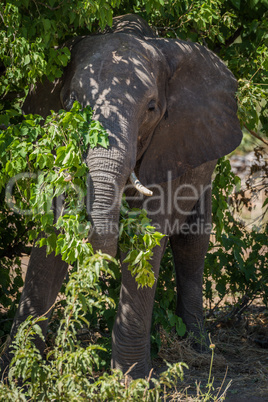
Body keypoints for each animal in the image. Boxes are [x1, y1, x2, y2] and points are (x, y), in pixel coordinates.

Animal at [0, 14, 243, 380]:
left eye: (152, 108)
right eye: (70, 103)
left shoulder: (170, 146)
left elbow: (147, 237)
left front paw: (130, 381)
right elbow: (51, 236)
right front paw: (19, 374)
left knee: (192, 241)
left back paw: (201, 351)